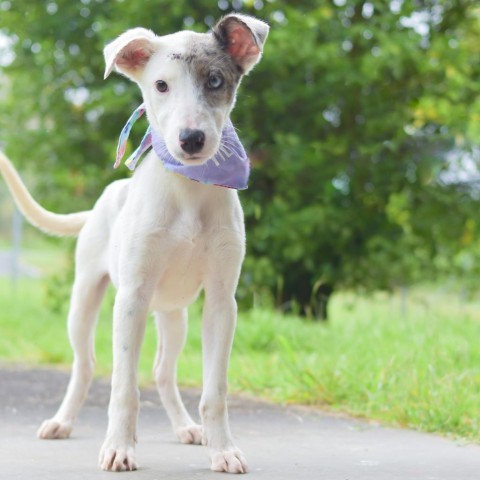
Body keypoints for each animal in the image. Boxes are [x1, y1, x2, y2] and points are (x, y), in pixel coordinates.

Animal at [0, 13, 268, 474]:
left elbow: (214, 390)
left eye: (215, 80)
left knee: (162, 370)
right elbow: (124, 386)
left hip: (174, 315)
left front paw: (223, 450)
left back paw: (186, 428)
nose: (191, 139)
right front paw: (120, 448)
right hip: (85, 300)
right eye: (160, 85)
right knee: (86, 365)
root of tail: (104, 199)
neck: (188, 188)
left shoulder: (221, 303)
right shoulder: (131, 299)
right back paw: (61, 422)